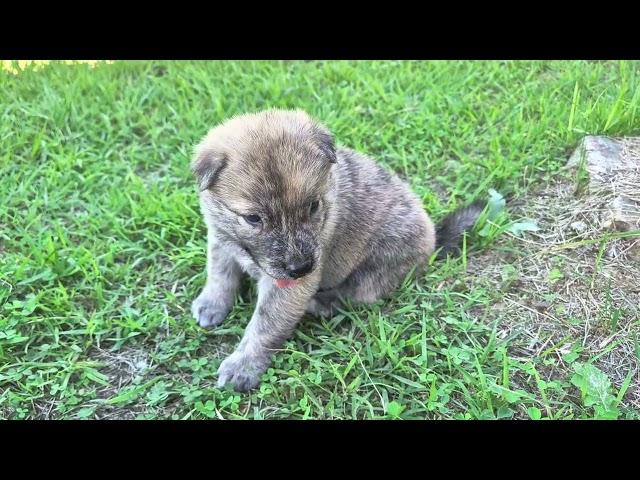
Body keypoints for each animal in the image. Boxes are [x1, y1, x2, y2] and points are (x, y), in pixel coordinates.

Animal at [192, 109, 482, 390]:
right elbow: (219, 274)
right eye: (253, 218)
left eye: (313, 206)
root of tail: (433, 238)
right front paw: (211, 304)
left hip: (381, 258)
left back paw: (320, 304)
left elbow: (266, 323)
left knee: (357, 293)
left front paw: (243, 366)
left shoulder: (290, 287)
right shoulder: (220, 239)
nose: (301, 268)